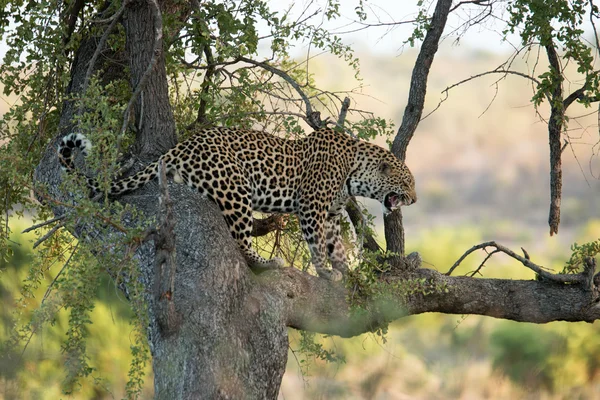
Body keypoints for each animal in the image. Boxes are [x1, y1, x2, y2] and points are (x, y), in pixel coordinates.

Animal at [59, 126, 418, 280]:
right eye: (407, 183)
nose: (414, 199)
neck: (354, 170)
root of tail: (181, 146)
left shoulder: (329, 212)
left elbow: (334, 244)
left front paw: (344, 269)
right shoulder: (311, 206)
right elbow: (317, 244)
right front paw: (326, 273)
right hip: (235, 190)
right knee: (240, 240)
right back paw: (266, 263)